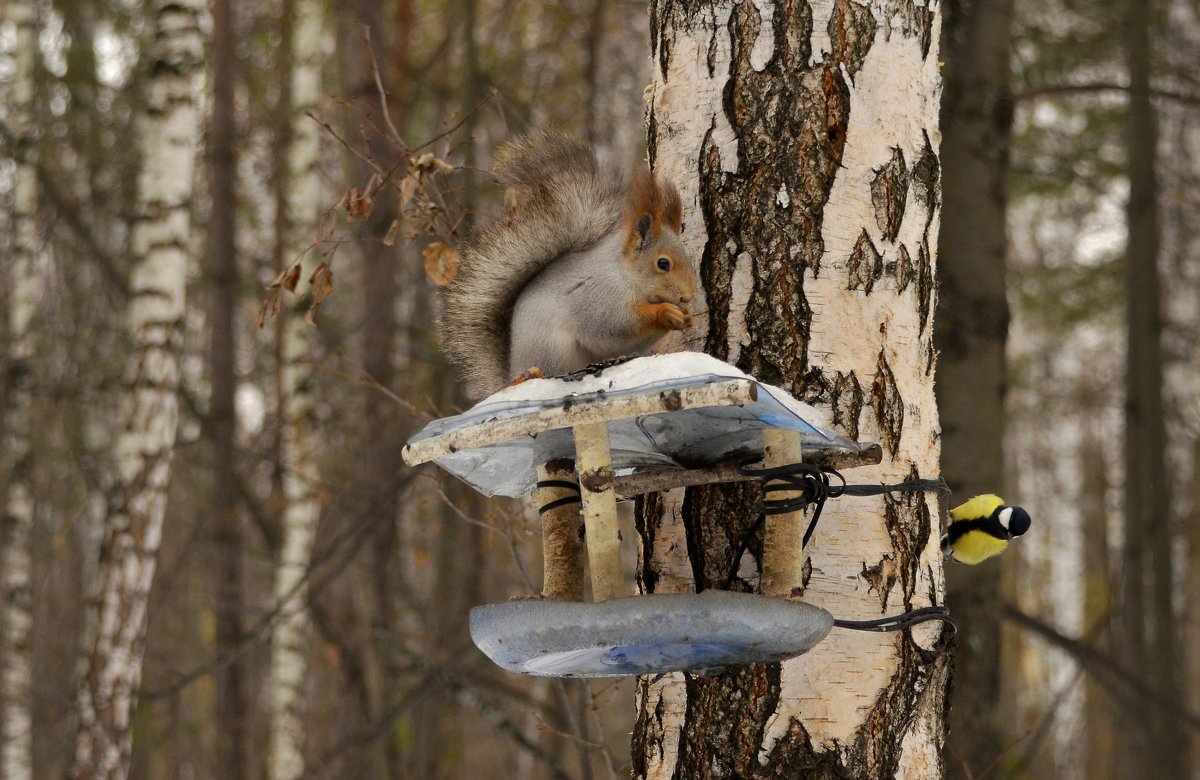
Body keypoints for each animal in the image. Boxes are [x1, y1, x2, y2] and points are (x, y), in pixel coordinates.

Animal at [444, 131, 700, 398]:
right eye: (663, 263)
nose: (687, 297)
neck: (624, 274)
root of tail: (512, 374)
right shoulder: (597, 296)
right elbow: (617, 325)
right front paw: (666, 312)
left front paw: (686, 316)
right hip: (552, 350)